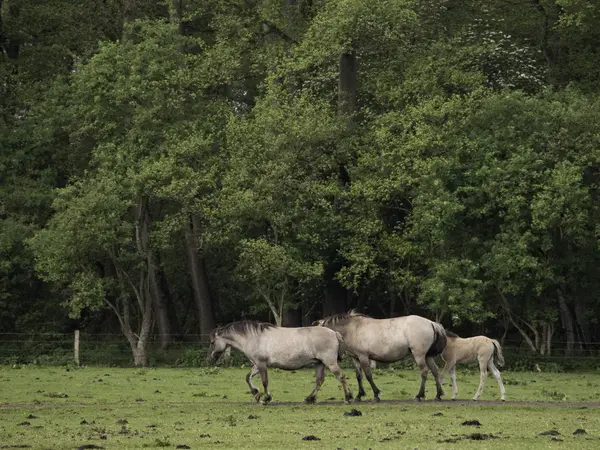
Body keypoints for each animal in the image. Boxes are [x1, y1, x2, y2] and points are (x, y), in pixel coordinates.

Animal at [207, 320, 354, 404]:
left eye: (212, 342)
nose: (209, 359)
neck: (253, 337)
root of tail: (334, 333)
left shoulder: (261, 364)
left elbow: (265, 382)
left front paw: (266, 398)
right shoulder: (257, 364)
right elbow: (248, 377)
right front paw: (256, 394)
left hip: (330, 363)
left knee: (341, 377)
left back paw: (348, 397)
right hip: (319, 363)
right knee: (319, 381)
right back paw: (309, 399)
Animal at [314, 312, 446, 402]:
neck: (353, 329)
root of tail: (431, 323)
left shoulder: (363, 357)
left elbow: (368, 376)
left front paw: (376, 394)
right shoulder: (355, 358)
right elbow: (359, 376)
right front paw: (359, 395)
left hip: (419, 355)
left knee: (424, 371)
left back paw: (419, 395)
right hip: (428, 356)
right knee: (435, 371)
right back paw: (438, 395)